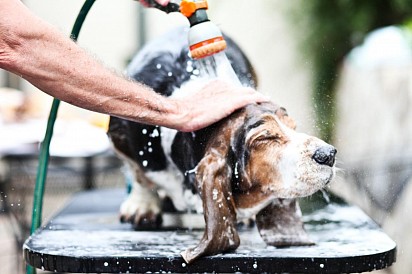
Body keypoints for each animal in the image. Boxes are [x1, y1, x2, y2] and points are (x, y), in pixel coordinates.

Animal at [108, 27, 336, 264]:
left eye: (293, 126)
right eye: (264, 138)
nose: (329, 154)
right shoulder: (119, 134)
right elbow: (138, 174)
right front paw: (142, 205)